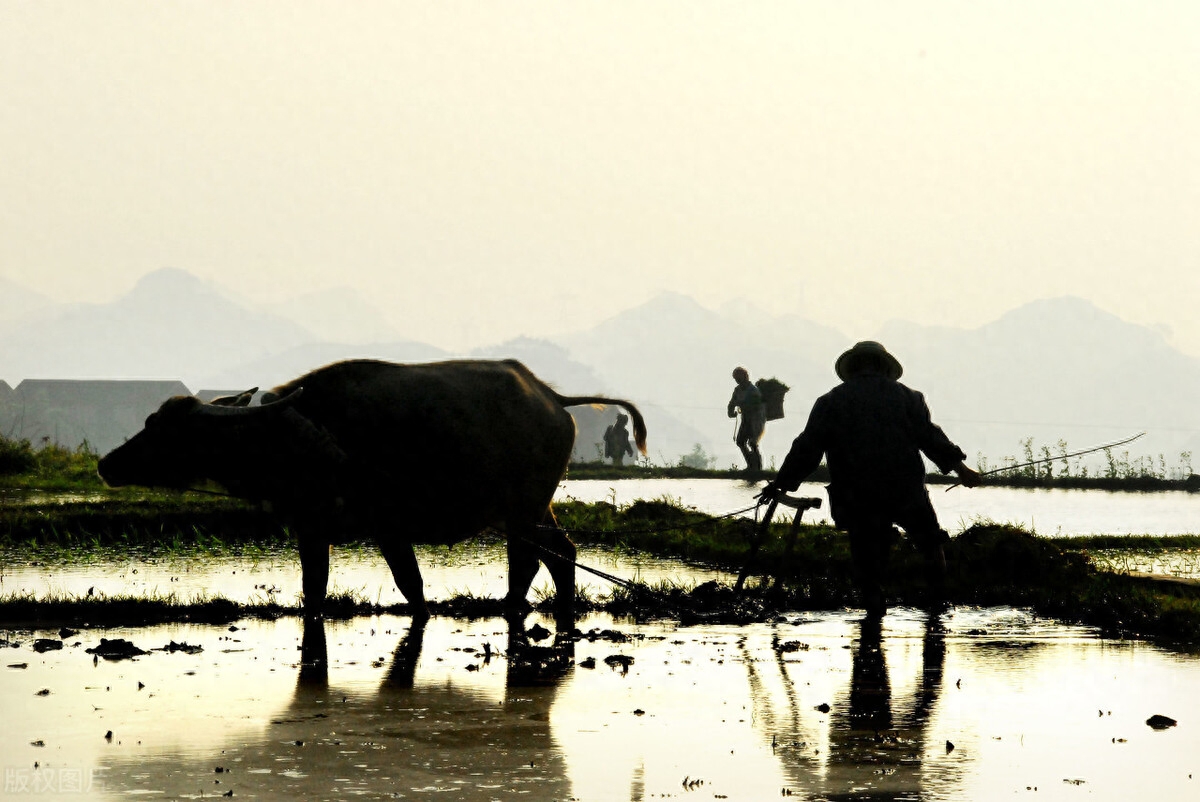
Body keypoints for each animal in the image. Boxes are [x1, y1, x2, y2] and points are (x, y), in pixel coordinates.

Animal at [96, 357, 648, 619]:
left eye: (165, 429)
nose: (106, 464)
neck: (303, 437)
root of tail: (551, 396)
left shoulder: (386, 527)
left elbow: (411, 587)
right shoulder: (312, 528)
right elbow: (315, 592)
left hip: (525, 506)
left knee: (536, 558)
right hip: (530, 507)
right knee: (555, 553)